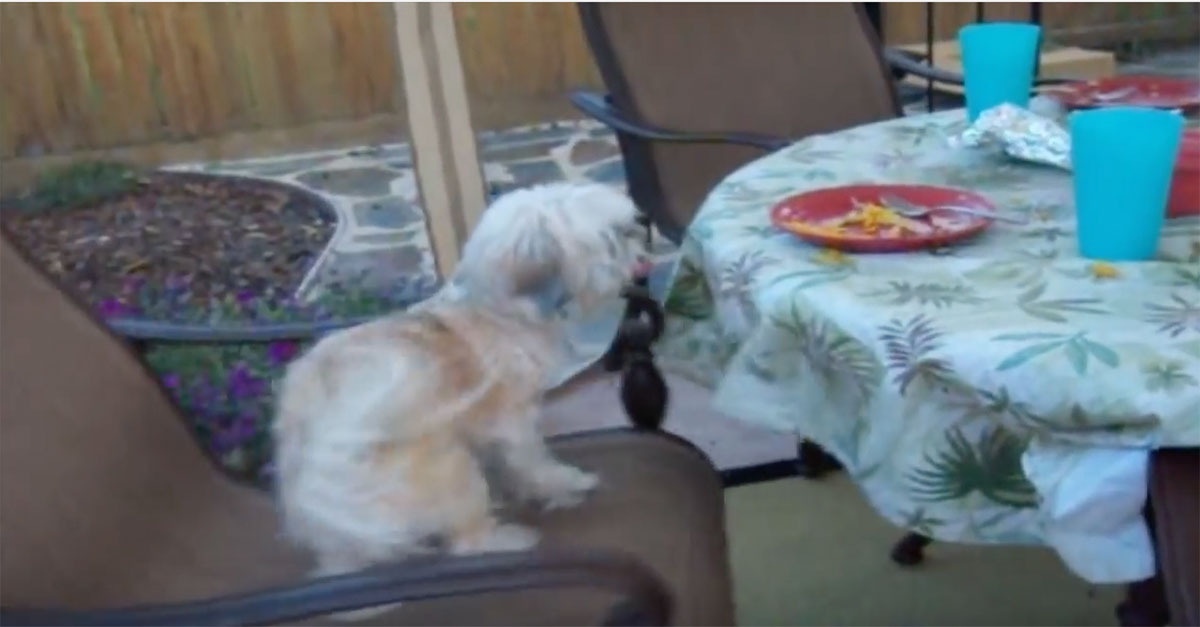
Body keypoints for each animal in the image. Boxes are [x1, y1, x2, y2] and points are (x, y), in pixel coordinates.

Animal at [274, 178, 648, 576]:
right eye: (612, 238)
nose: (641, 243)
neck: (496, 310)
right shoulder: (515, 420)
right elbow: (534, 460)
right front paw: (561, 484)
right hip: (448, 463)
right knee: (466, 543)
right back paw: (504, 541)